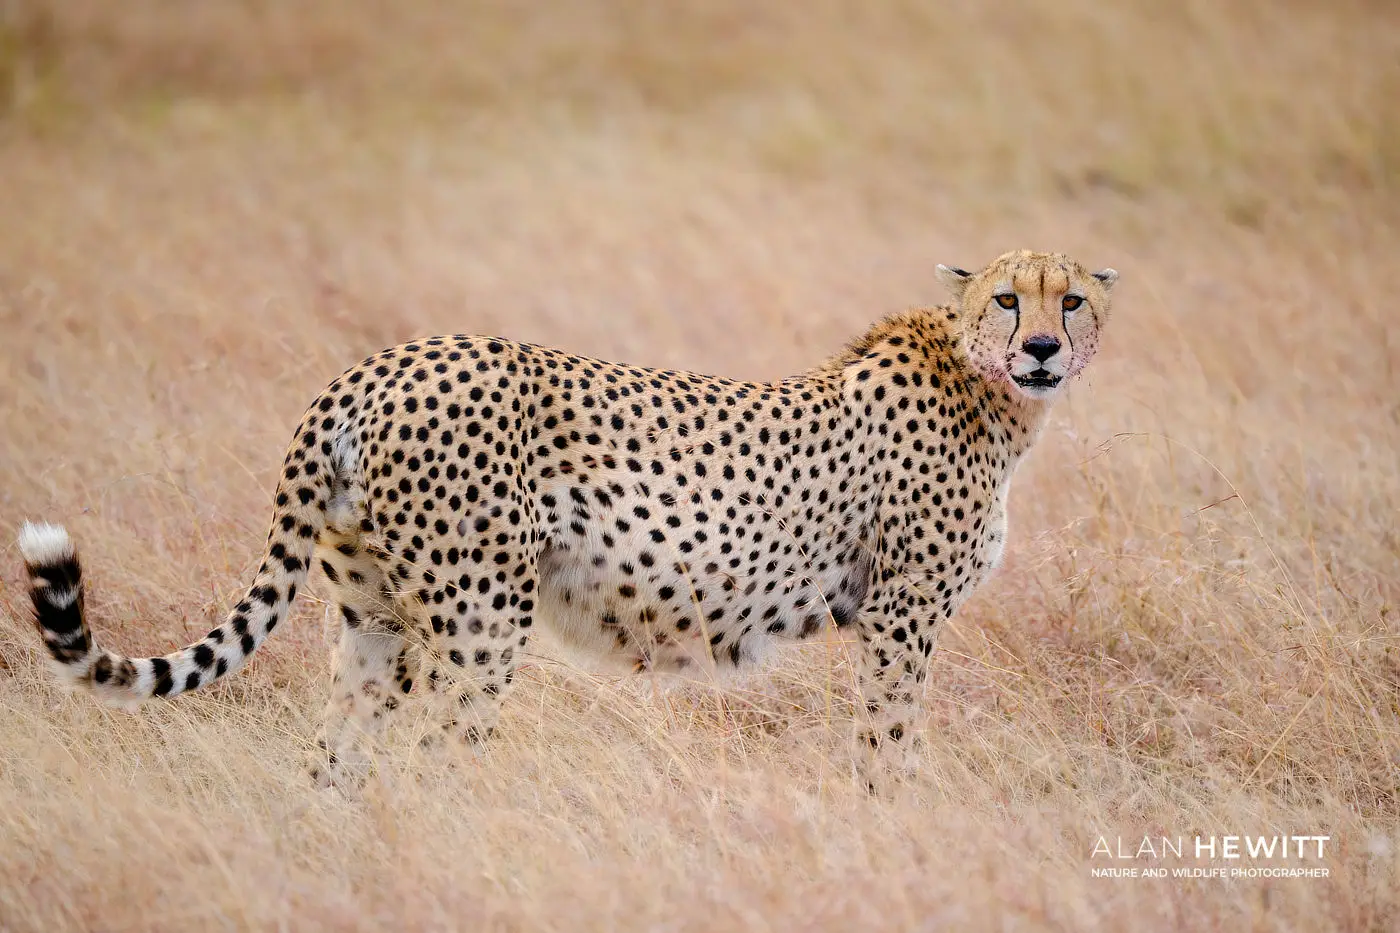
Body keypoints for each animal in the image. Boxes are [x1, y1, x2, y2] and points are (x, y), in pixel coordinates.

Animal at [18, 249, 1117, 790]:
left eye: (1070, 301)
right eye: (1007, 300)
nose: (1040, 349)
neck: (986, 391)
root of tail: (376, 364)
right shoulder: (898, 614)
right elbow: (892, 735)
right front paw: (890, 814)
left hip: (375, 618)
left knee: (336, 753)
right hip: (479, 616)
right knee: (438, 758)